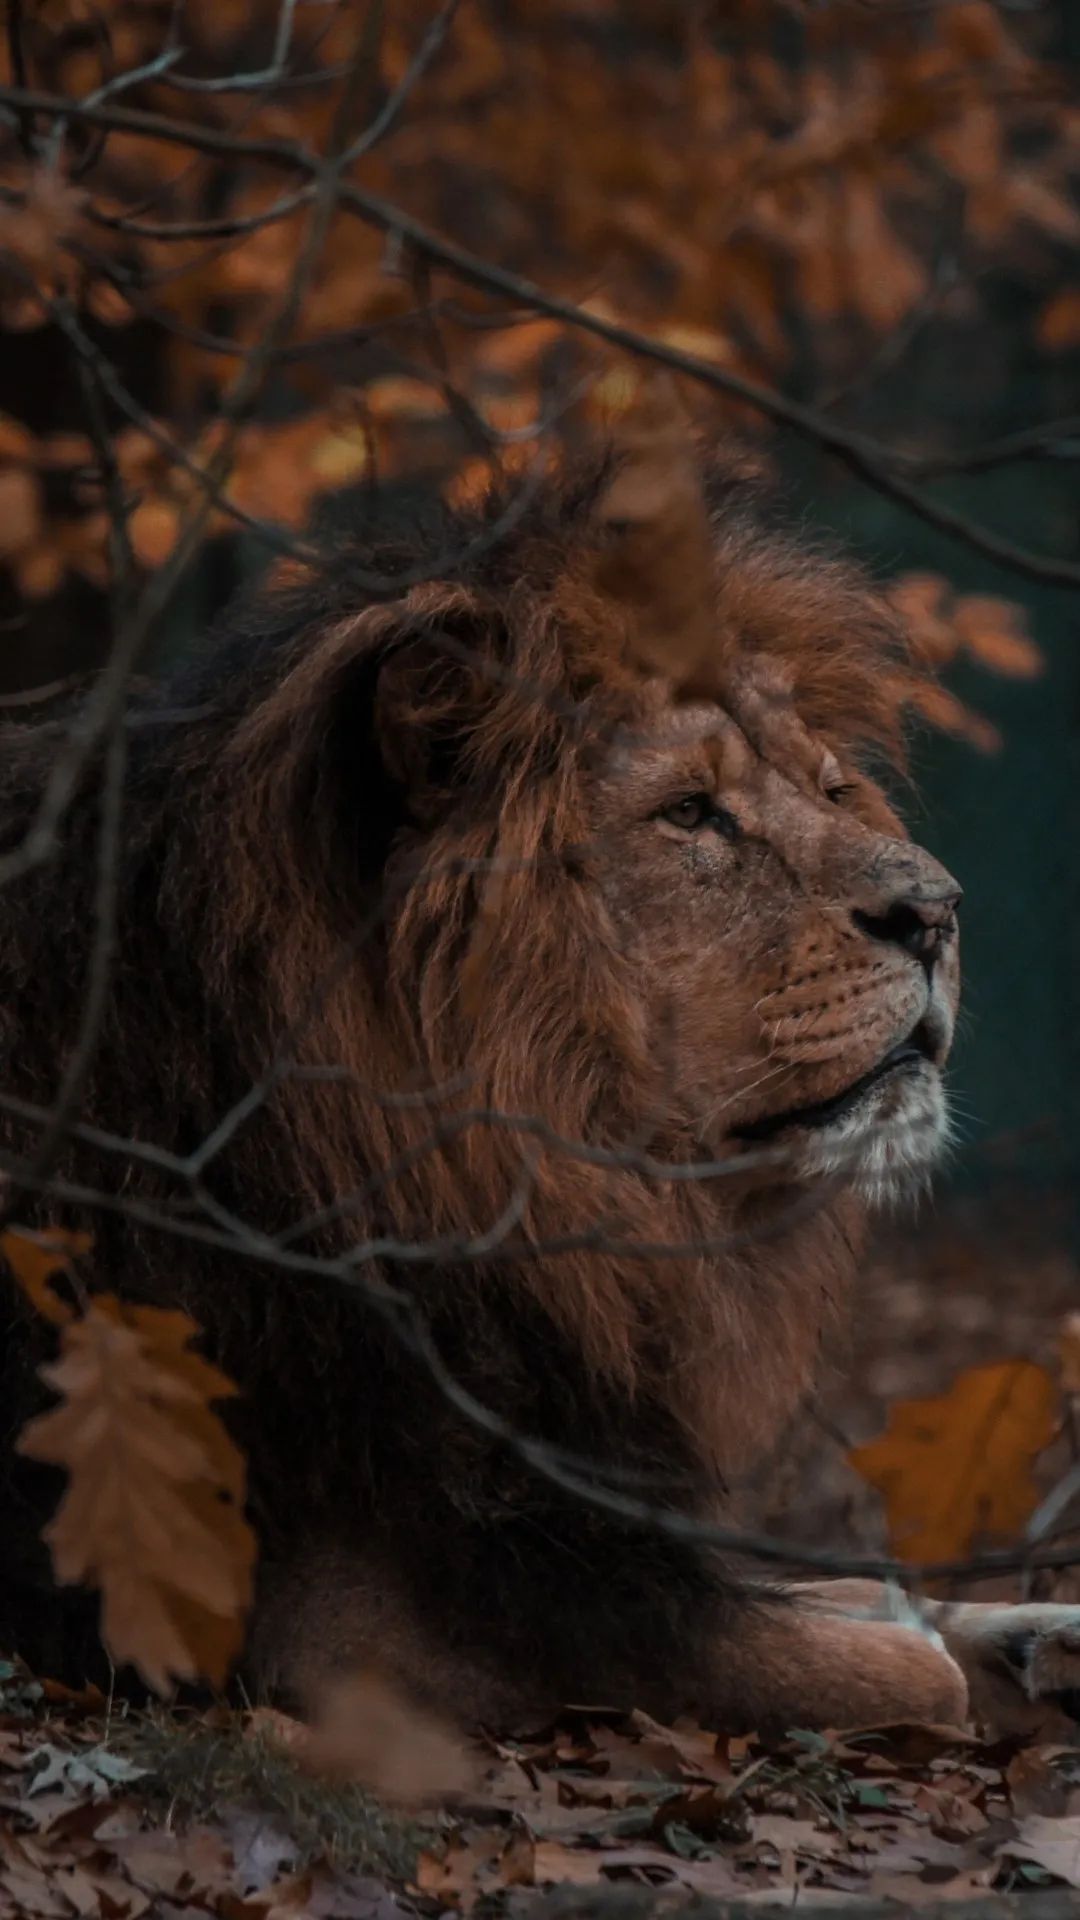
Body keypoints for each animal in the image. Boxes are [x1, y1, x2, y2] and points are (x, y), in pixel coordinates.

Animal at [1, 423, 1079, 1739]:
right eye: (690, 814)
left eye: (830, 790)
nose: (939, 911)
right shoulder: (362, 1624)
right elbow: (891, 1662)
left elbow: (864, 1591)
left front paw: (1036, 1627)